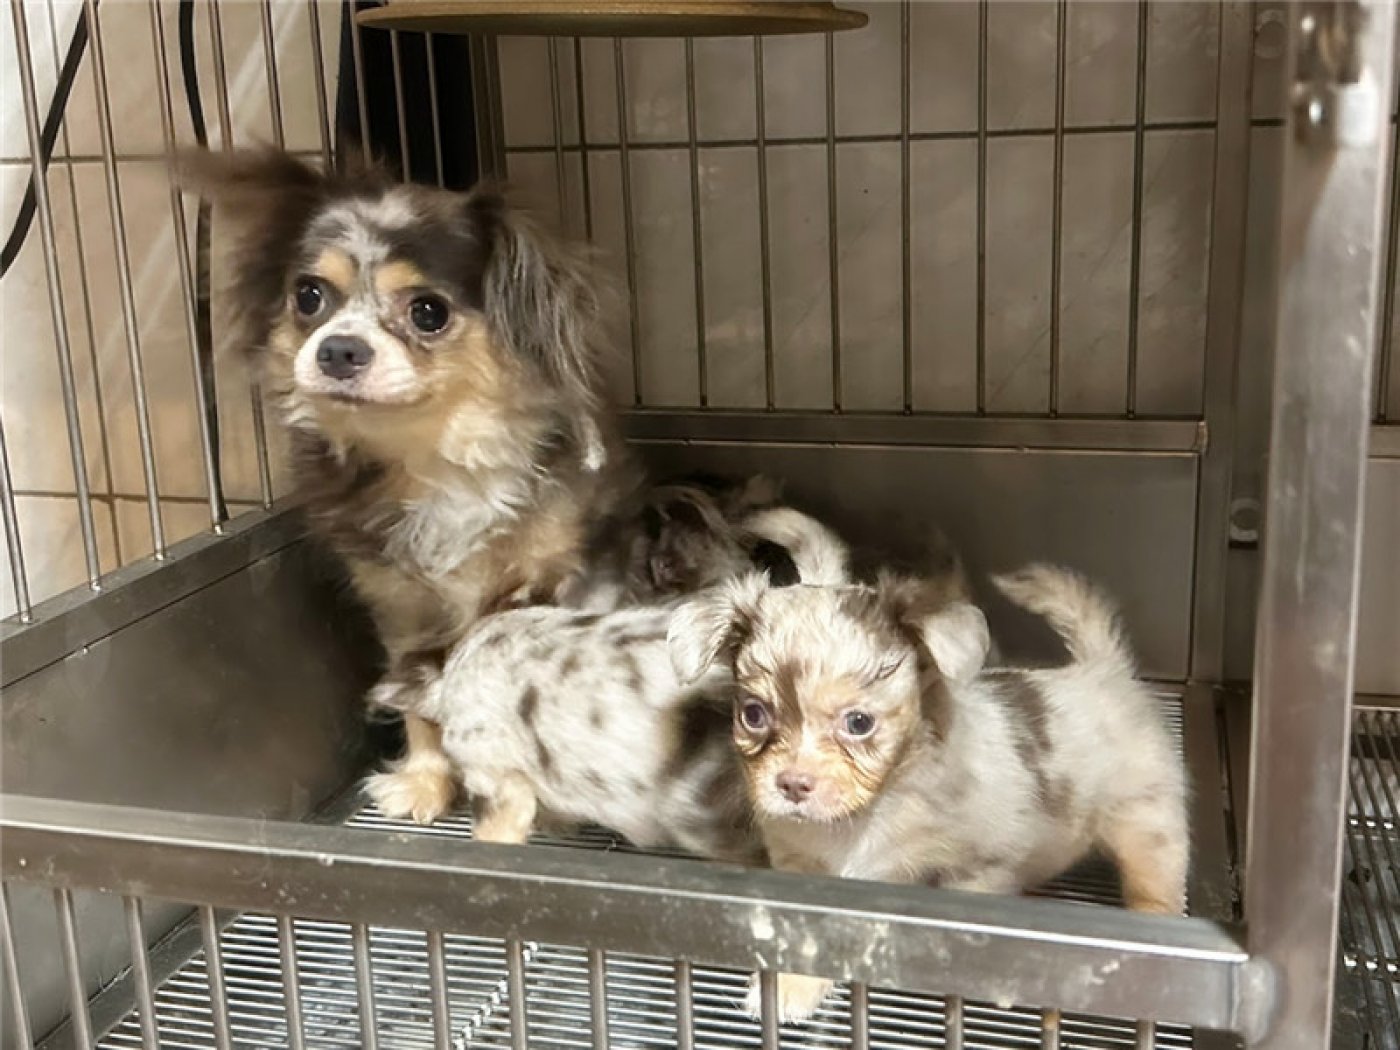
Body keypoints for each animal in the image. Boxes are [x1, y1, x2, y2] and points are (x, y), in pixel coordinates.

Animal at [668, 564, 1189, 1022]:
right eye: (753, 715)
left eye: (859, 723)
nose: (792, 784)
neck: (865, 816)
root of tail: (1103, 670)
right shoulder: (802, 874)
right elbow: (804, 940)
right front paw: (793, 987)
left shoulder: (976, 872)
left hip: (1147, 819)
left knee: (1155, 881)